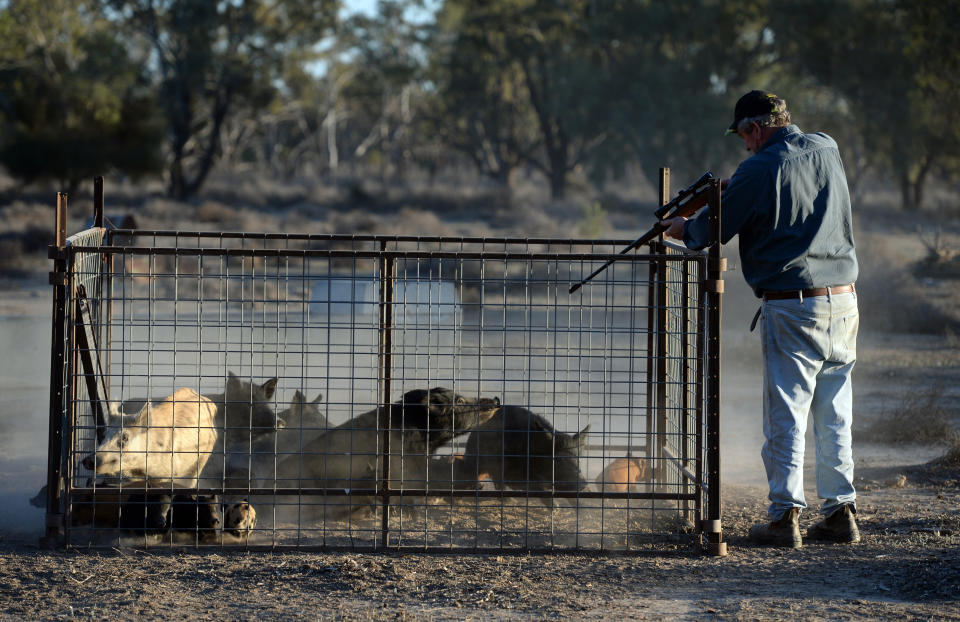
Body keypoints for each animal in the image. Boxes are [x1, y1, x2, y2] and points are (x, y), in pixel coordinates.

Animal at [452, 408, 592, 504]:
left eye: (578, 460)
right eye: (558, 460)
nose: (583, 484)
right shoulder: (514, 474)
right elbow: (535, 487)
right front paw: (555, 507)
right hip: (475, 458)